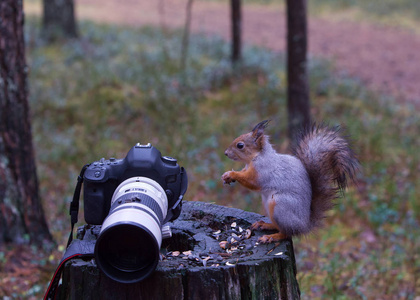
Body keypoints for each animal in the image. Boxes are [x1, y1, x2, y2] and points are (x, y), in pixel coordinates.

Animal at [221, 119, 360, 244]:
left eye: (240, 145)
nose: (226, 153)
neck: (257, 157)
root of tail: (304, 226)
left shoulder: (262, 171)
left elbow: (252, 182)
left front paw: (232, 174)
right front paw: (227, 176)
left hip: (280, 206)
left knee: (287, 234)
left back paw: (271, 237)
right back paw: (265, 224)